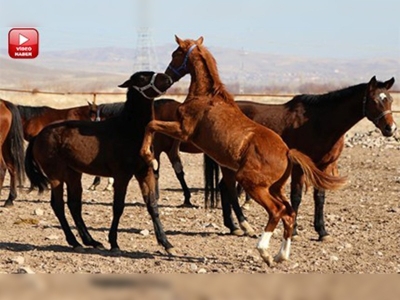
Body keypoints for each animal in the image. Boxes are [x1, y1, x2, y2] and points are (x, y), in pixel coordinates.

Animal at [24, 71, 175, 254]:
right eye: (142, 78)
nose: (168, 78)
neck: (129, 130)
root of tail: (38, 136)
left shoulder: (145, 172)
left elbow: (152, 205)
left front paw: (166, 243)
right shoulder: (122, 175)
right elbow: (118, 207)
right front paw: (114, 243)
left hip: (73, 174)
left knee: (74, 205)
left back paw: (91, 241)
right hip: (56, 176)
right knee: (58, 205)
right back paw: (74, 242)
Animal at [139, 35, 346, 268]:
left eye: (175, 54)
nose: (167, 76)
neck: (205, 96)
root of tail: (287, 152)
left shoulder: (183, 131)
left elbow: (151, 125)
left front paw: (148, 156)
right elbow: (152, 127)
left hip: (253, 184)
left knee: (277, 211)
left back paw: (263, 250)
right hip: (274, 187)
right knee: (289, 212)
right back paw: (280, 255)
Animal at [206, 75, 396, 241]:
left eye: (390, 100)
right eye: (374, 100)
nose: (391, 128)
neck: (319, 122)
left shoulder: (323, 166)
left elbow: (320, 197)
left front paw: (322, 232)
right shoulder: (298, 167)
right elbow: (296, 197)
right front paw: (295, 230)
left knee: (224, 188)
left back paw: (233, 226)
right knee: (230, 189)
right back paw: (241, 225)